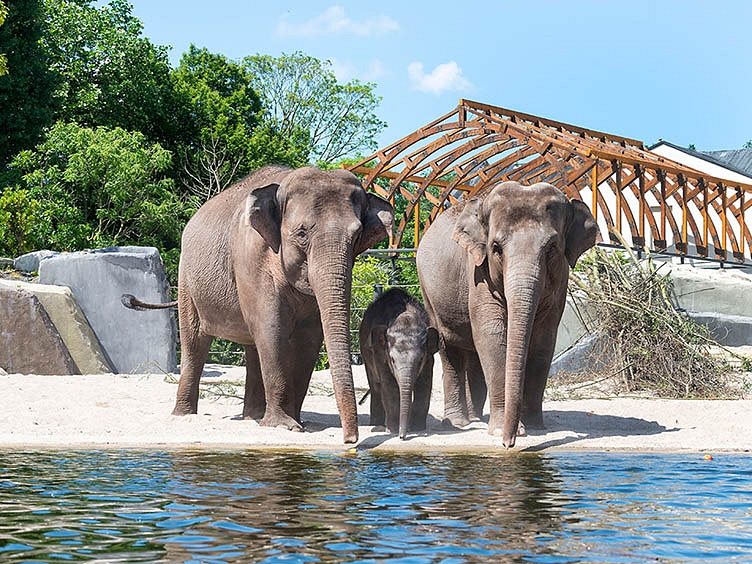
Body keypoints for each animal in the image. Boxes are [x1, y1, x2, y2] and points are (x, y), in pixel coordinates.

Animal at [170, 165, 394, 442]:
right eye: (302, 233)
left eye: (357, 235)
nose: (350, 440)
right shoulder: (251, 257)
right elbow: (272, 328)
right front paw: (283, 426)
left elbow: (309, 337)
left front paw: (297, 422)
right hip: (186, 279)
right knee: (195, 341)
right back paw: (184, 415)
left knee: (252, 346)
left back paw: (253, 417)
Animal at [360, 288, 440, 438]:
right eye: (392, 360)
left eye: (420, 359)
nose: (402, 437)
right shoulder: (380, 354)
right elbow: (389, 386)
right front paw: (392, 430)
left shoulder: (429, 359)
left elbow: (424, 384)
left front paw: (417, 428)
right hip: (365, 353)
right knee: (375, 387)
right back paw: (375, 424)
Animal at [414, 181, 596, 446]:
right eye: (496, 248)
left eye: (552, 248)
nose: (508, 444)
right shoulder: (478, 273)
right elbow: (492, 335)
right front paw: (502, 430)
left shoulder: (561, 280)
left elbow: (543, 341)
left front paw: (535, 427)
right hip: (429, 291)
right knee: (450, 347)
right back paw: (458, 423)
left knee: (473, 353)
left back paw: (475, 417)